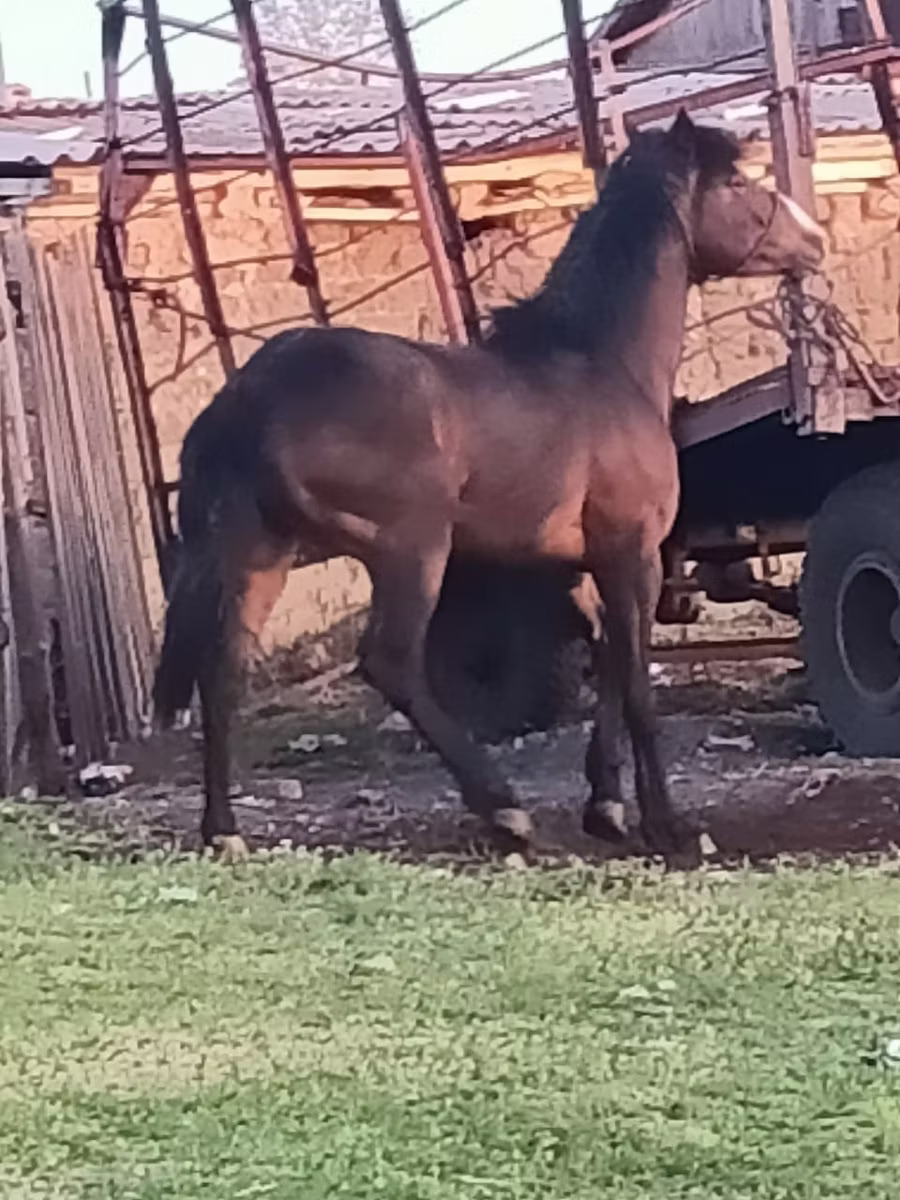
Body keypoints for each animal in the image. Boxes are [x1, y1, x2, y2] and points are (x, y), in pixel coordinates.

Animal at [153, 111, 825, 863]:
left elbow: (609, 665)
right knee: (391, 662)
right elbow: (637, 682)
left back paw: (224, 831)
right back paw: (504, 809)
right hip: (410, 549)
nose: (813, 240)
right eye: (736, 180)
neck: (602, 365)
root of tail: (245, 400)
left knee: (222, 673)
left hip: (261, 558)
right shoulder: (632, 553)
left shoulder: (579, 567)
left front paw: (607, 807)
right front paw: (670, 828)